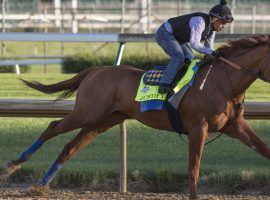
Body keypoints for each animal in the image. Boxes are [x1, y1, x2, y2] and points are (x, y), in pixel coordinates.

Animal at [0, 34, 270, 198]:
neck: (222, 83)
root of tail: (97, 70)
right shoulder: (198, 127)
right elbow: (193, 167)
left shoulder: (234, 126)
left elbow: (264, 149)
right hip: (86, 113)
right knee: (53, 127)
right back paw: (13, 166)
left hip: (102, 121)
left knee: (70, 147)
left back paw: (41, 185)